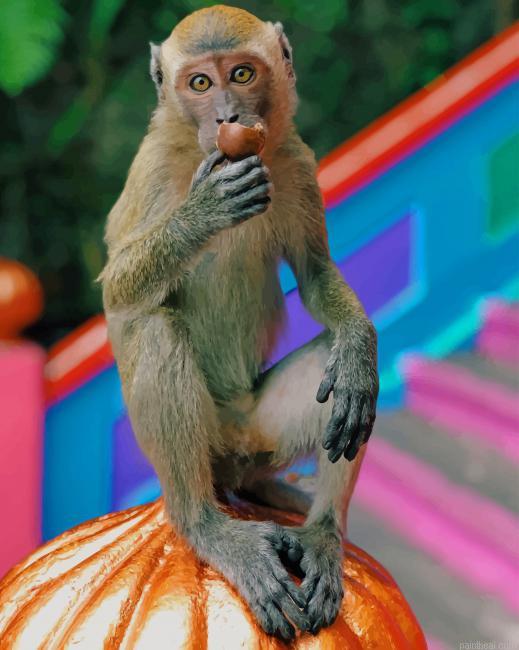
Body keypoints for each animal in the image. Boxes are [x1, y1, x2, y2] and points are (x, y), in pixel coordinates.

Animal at [100, 5, 378, 641]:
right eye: (200, 83)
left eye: (242, 74)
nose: (228, 117)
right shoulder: (152, 169)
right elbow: (120, 288)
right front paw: (204, 212)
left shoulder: (295, 160)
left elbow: (315, 275)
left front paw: (359, 346)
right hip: (200, 447)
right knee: (154, 327)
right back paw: (206, 525)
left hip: (260, 430)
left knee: (338, 388)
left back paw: (320, 530)